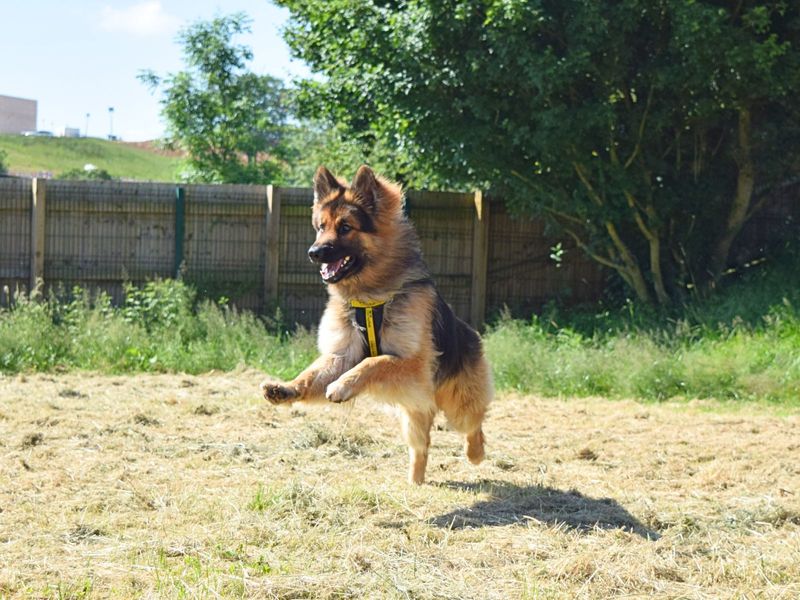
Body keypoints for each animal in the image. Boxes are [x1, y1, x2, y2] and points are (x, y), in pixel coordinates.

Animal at [262, 166, 490, 486]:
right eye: (321, 226)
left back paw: (476, 454)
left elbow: (375, 362)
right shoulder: (342, 354)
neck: (370, 298)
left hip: (458, 403)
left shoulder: (412, 364)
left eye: (345, 227)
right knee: (421, 447)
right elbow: (312, 374)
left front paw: (342, 386)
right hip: (414, 410)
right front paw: (286, 389)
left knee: (473, 425)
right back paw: (415, 481)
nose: (314, 252)